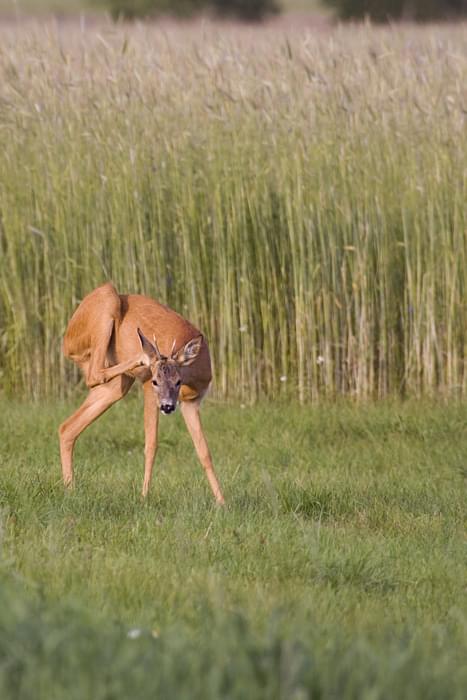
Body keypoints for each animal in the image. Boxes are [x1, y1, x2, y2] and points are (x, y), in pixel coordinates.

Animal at [58, 284, 227, 504]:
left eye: (178, 381)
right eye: (156, 381)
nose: (167, 406)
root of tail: (66, 338)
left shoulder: (191, 403)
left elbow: (204, 452)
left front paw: (222, 502)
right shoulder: (148, 388)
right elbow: (151, 445)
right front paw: (144, 496)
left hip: (117, 385)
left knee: (67, 427)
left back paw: (70, 489)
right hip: (106, 297)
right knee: (94, 374)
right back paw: (143, 357)